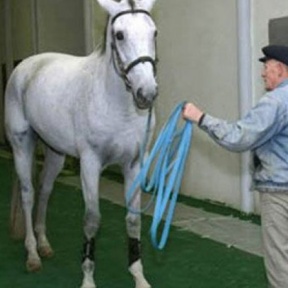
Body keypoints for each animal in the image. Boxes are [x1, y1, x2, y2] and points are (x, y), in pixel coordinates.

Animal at [3, 0, 158, 286]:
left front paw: (139, 277)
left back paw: (44, 244)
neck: (116, 104)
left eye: (154, 33)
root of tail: (24, 65)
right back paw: (33, 255)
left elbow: (133, 220)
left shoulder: (134, 164)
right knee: (29, 194)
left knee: (45, 190)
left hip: (55, 153)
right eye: (119, 35)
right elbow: (92, 220)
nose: (147, 93)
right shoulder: (90, 163)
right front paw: (88, 279)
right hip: (22, 146)